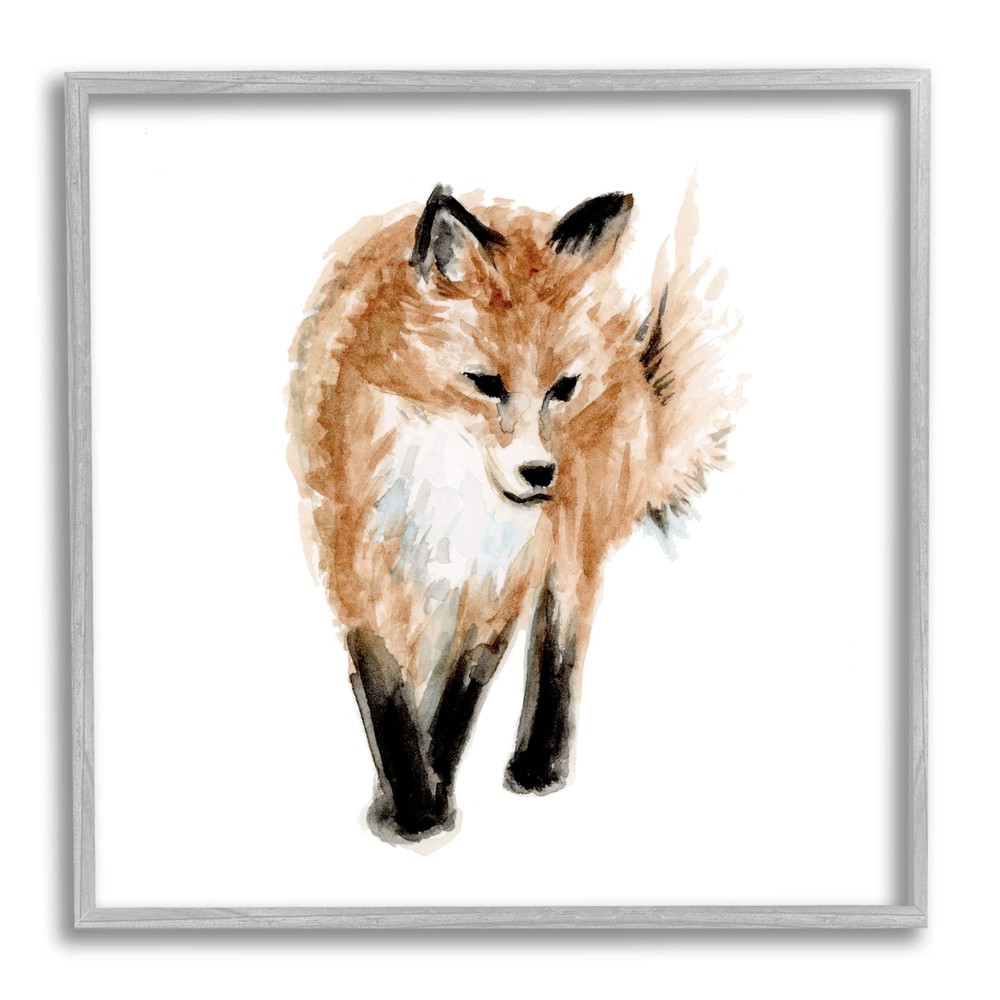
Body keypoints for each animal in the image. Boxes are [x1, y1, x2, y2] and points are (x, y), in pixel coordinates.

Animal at [287, 182, 738, 844]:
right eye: (485, 383)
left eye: (563, 388)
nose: (540, 474)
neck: (451, 492)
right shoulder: (354, 570)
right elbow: (390, 699)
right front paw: (411, 804)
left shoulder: (501, 582)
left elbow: (458, 701)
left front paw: (431, 799)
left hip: (573, 541)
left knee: (561, 636)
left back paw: (540, 761)